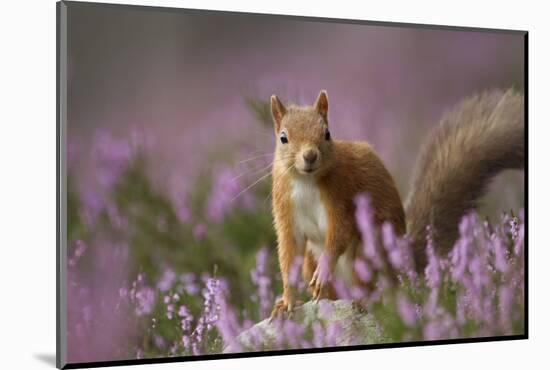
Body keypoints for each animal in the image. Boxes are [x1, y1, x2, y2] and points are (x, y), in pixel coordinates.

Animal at [270, 87, 528, 318]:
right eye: (283, 138)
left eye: (327, 133)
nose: (310, 155)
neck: (306, 181)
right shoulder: (286, 210)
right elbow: (289, 253)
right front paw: (287, 301)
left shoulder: (342, 195)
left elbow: (340, 232)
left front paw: (323, 272)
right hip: (311, 261)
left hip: (368, 252)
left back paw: (364, 301)